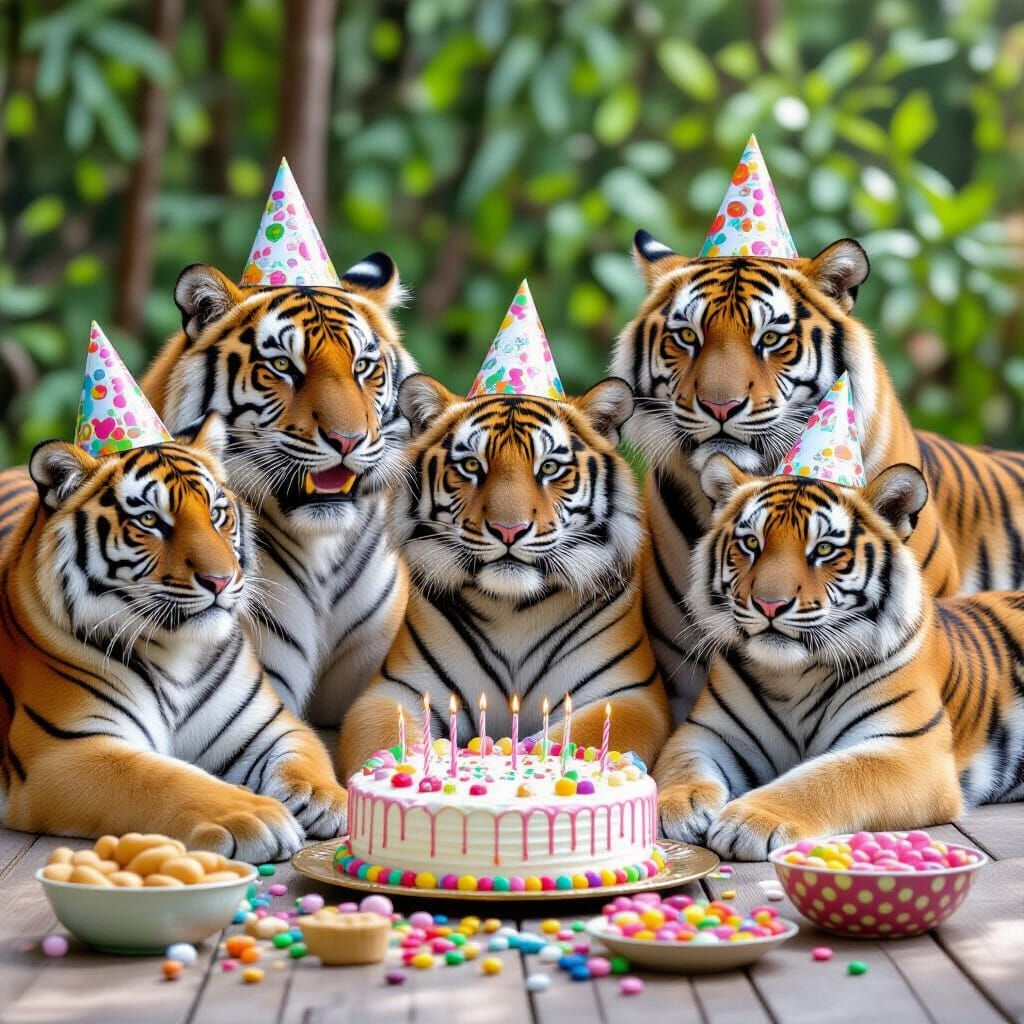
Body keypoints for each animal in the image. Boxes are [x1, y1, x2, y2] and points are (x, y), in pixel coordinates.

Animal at [0, 415, 347, 860]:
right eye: (149, 521)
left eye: (216, 514)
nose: (221, 580)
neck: (176, 654)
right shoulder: (63, 750)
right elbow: (164, 779)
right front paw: (255, 815)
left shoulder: (266, 724)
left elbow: (304, 752)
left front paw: (323, 798)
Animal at [337, 375, 671, 778]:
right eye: (471, 465)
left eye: (549, 468)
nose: (508, 530)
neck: (512, 609)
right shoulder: (397, 690)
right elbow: (383, 737)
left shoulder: (627, 696)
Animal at [655, 454, 1024, 860]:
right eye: (751, 543)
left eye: (824, 550)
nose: (769, 604)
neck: (793, 675)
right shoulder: (706, 732)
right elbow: (682, 765)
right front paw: (678, 805)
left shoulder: (908, 749)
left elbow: (827, 779)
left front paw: (749, 820)